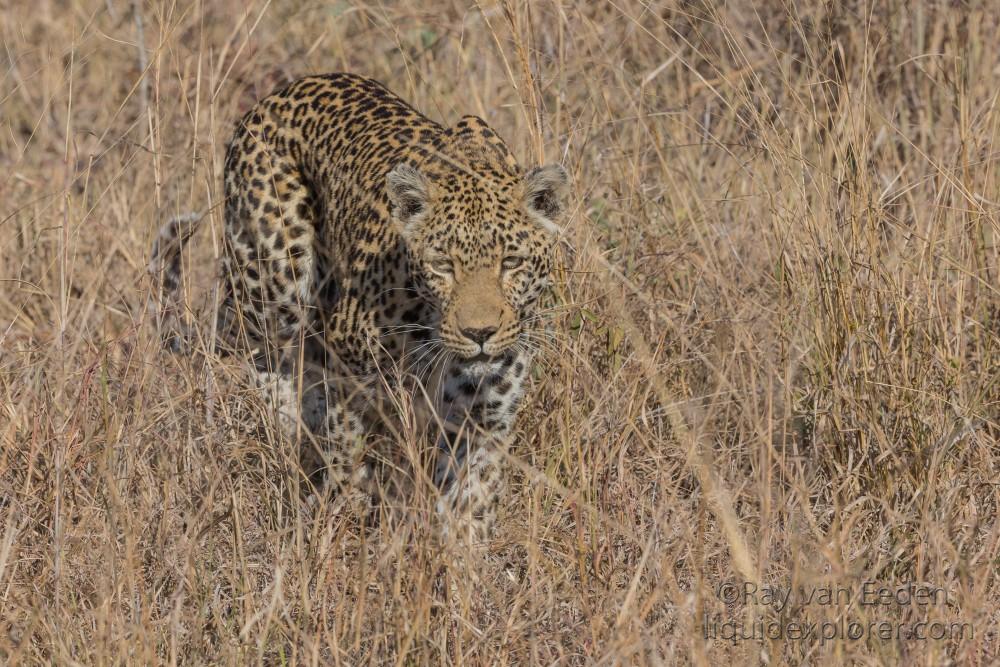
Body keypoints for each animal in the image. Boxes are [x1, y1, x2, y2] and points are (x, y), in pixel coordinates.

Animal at [150, 72, 572, 544]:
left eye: (511, 263)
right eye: (442, 265)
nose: (478, 333)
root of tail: (273, 97)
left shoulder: (485, 418)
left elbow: (471, 500)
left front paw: (462, 552)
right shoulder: (350, 367)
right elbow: (345, 452)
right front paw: (340, 516)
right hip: (274, 280)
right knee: (260, 349)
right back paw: (288, 427)